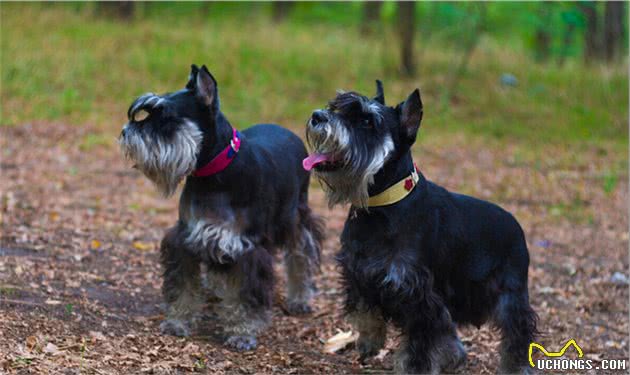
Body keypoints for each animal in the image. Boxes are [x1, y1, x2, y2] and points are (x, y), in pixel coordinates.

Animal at [119, 65, 326, 352]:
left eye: (168, 119)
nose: (126, 131)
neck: (214, 174)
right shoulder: (187, 237)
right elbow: (182, 285)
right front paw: (178, 321)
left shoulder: (248, 248)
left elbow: (245, 296)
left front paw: (242, 333)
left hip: (296, 219)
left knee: (300, 256)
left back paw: (299, 298)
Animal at [306, 81, 540, 374]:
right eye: (336, 107)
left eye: (367, 121)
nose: (317, 116)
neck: (382, 206)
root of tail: (517, 226)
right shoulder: (357, 272)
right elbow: (366, 312)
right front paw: (370, 342)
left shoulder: (418, 294)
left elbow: (419, 346)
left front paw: (414, 367)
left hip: (510, 294)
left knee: (517, 332)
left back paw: (515, 366)